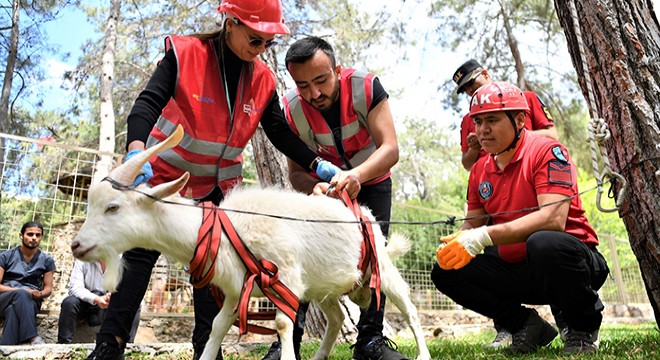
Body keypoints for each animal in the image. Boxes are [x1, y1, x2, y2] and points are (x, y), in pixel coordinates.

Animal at [72, 126, 430, 360]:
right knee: (337, 319)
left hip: (379, 266)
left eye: (113, 207)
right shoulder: (236, 288)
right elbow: (218, 326)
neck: (231, 227)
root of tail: (362, 212)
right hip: (322, 286)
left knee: (410, 309)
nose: (77, 245)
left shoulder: (286, 277)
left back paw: (422, 354)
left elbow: (284, 324)